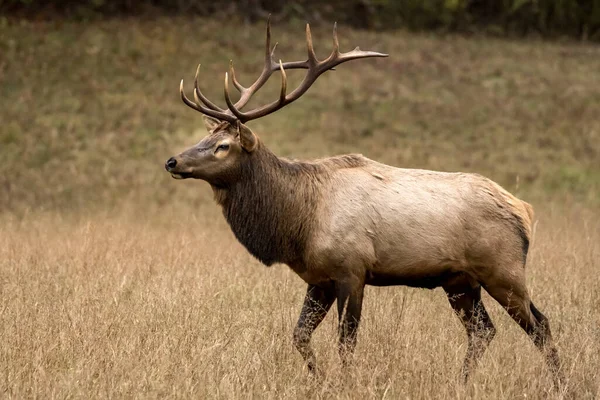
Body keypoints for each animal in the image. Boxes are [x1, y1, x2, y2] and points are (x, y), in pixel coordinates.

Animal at [165, 19, 564, 384]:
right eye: (205, 139)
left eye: (222, 146)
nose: (172, 161)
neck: (298, 222)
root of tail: (524, 210)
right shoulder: (319, 278)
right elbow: (299, 335)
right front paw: (318, 380)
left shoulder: (352, 269)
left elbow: (346, 341)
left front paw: (343, 383)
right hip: (460, 281)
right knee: (483, 330)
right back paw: (461, 382)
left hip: (503, 269)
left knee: (540, 325)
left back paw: (559, 383)